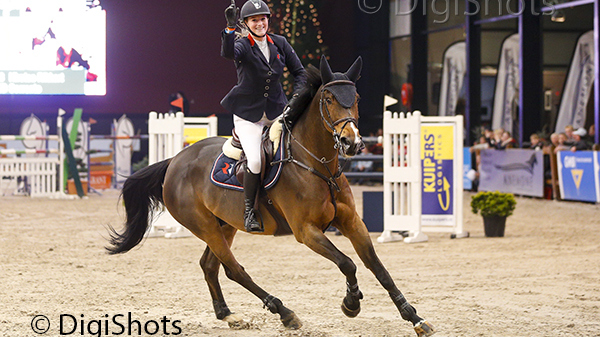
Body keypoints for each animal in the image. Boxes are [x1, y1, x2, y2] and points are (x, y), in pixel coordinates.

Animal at [106, 56, 436, 334]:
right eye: (328, 99)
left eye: (355, 100)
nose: (351, 143)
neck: (318, 165)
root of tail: (174, 161)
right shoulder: (306, 231)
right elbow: (347, 263)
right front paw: (351, 304)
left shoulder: (352, 222)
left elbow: (377, 266)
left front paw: (414, 317)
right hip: (205, 226)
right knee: (234, 270)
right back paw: (284, 312)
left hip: (225, 224)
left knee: (211, 266)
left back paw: (228, 314)